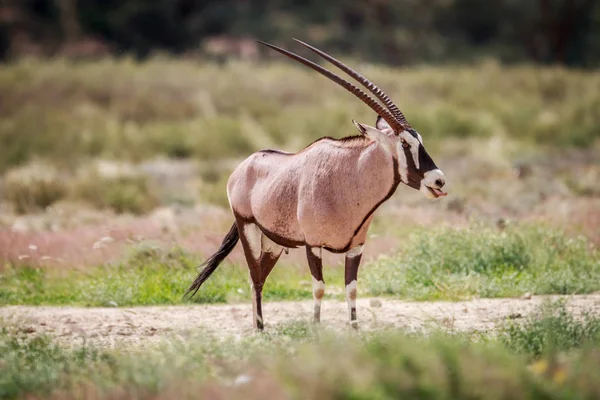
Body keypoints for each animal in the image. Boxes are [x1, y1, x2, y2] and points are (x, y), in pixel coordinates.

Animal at [185, 39, 448, 330]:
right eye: (404, 143)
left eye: (420, 139)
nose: (438, 179)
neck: (349, 178)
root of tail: (243, 167)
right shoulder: (313, 245)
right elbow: (319, 288)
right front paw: (316, 328)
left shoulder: (356, 247)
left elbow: (351, 289)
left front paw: (354, 329)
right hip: (248, 230)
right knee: (255, 278)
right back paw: (260, 329)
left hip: (273, 244)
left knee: (259, 278)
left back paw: (261, 328)